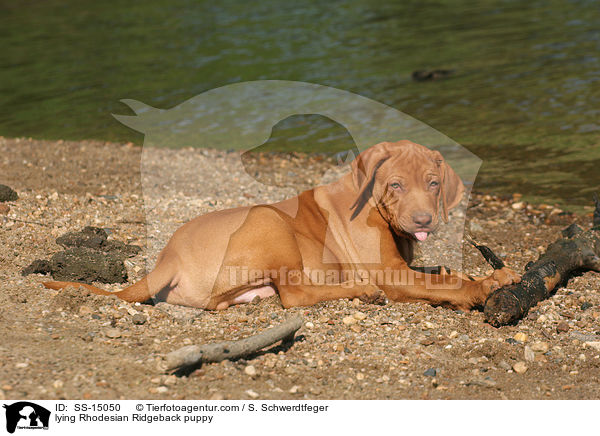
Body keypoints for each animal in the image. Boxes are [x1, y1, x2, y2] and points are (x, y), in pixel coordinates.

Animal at [44, 140, 516, 310]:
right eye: (395, 184)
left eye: (434, 183)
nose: (423, 220)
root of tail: (166, 260)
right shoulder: (391, 273)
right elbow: (444, 283)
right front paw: (481, 288)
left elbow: (439, 271)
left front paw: (494, 274)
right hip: (269, 219)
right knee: (295, 296)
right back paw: (361, 290)